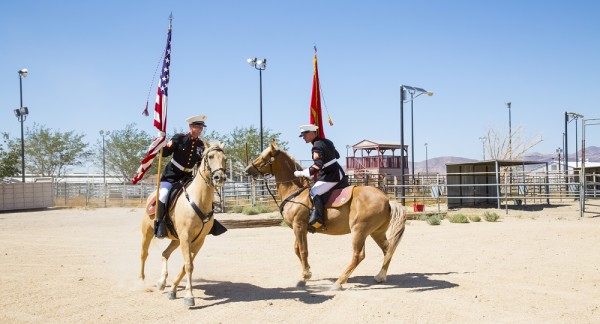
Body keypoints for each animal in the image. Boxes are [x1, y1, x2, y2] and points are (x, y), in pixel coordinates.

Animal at [138, 141, 227, 306]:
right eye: (210, 156)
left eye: (225, 158)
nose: (220, 177)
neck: (198, 199)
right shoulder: (185, 237)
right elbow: (189, 265)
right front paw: (189, 296)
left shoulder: (198, 240)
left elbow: (187, 265)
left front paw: (173, 290)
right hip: (148, 232)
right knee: (143, 254)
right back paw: (141, 282)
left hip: (176, 239)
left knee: (165, 253)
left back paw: (162, 282)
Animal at [245, 140, 408, 290]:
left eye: (264, 156)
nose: (247, 170)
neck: (295, 192)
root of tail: (386, 199)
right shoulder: (300, 229)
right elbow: (297, 249)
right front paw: (307, 272)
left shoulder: (299, 226)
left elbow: (303, 250)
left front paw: (305, 277)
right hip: (376, 232)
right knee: (388, 249)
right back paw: (380, 276)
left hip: (359, 230)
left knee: (358, 255)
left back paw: (339, 282)